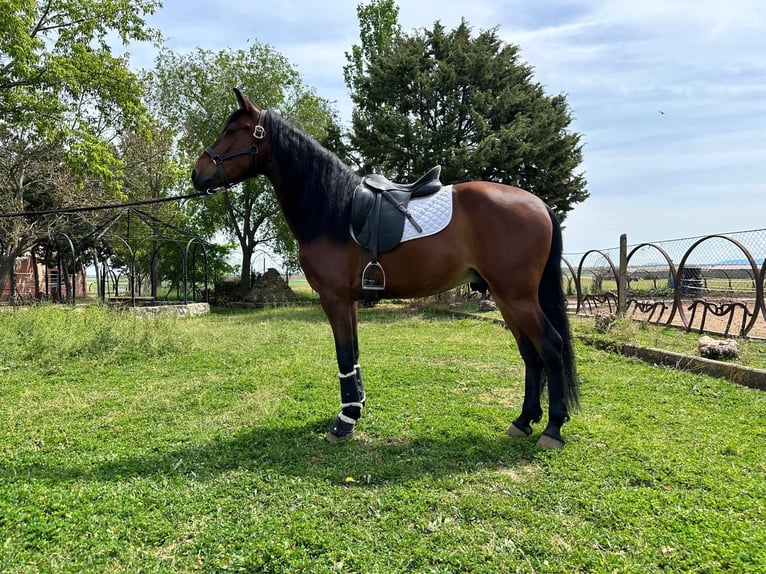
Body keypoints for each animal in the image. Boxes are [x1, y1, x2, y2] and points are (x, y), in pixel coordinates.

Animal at [192, 88, 579, 449]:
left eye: (233, 131)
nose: (197, 174)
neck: (334, 211)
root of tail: (538, 204)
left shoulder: (334, 298)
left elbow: (343, 356)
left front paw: (344, 422)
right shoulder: (348, 300)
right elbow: (353, 355)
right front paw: (356, 409)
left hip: (517, 297)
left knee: (550, 346)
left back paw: (552, 429)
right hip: (505, 296)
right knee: (530, 352)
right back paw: (524, 420)